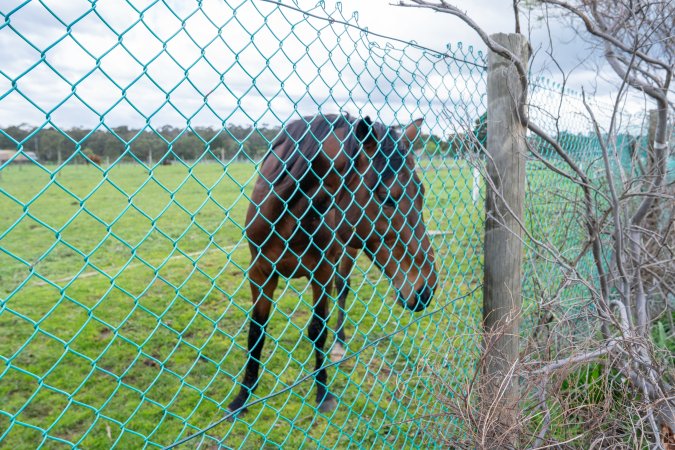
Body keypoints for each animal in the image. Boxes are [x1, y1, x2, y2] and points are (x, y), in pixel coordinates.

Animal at [227, 113, 438, 415]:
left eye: (420, 192)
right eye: (387, 197)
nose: (425, 289)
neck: (291, 217)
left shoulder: (322, 272)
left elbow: (318, 330)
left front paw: (323, 392)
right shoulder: (260, 273)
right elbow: (256, 331)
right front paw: (243, 396)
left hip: (346, 253)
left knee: (343, 289)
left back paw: (339, 343)